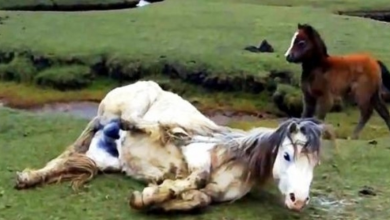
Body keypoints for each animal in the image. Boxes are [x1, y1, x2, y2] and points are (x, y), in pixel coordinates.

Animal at [13, 80, 334, 212]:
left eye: (315, 164)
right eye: (287, 155)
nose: (298, 200)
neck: (234, 160)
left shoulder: (212, 195)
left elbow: (199, 199)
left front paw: (157, 198)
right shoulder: (195, 155)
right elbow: (196, 174)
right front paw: (152, 194)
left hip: (105, 158)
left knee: (70, 159)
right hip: (107, 115)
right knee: (84, 143)